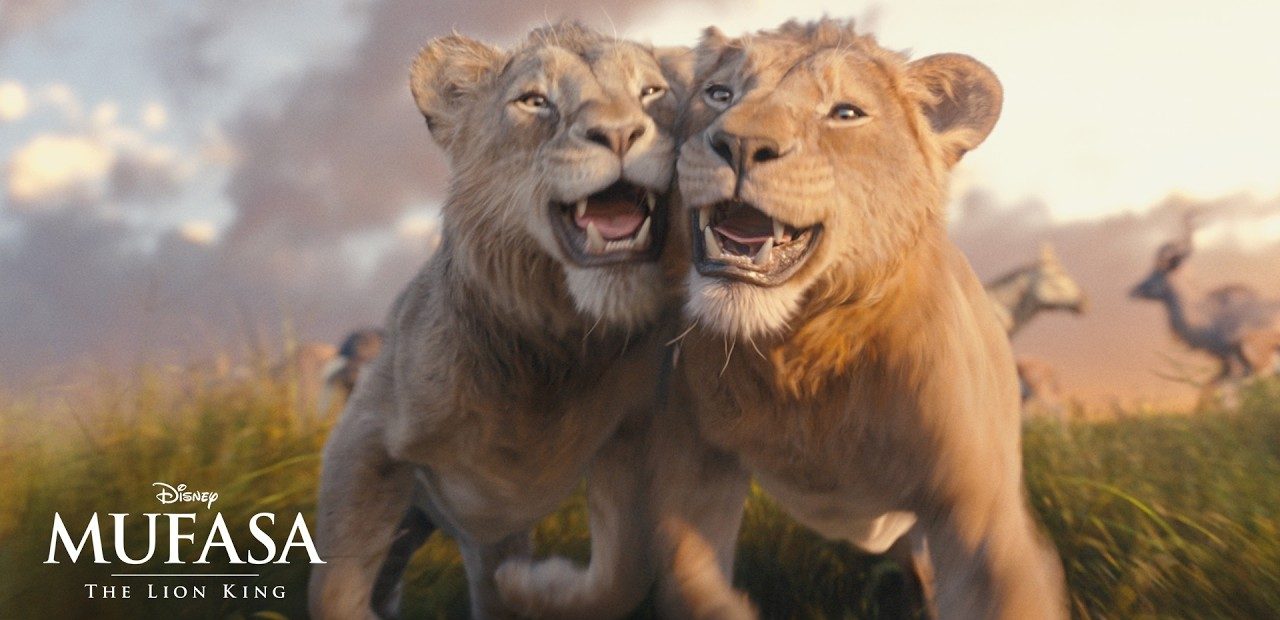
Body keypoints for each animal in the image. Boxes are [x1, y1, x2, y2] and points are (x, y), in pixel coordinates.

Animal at [307, 23, 690, 619]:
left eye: (651, 92)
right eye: (535, 101)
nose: (621, 133)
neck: (554, 347)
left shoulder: (630, 434)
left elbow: (625, 571)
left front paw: (536, 586)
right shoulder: (364, 433)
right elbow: (335, 589)